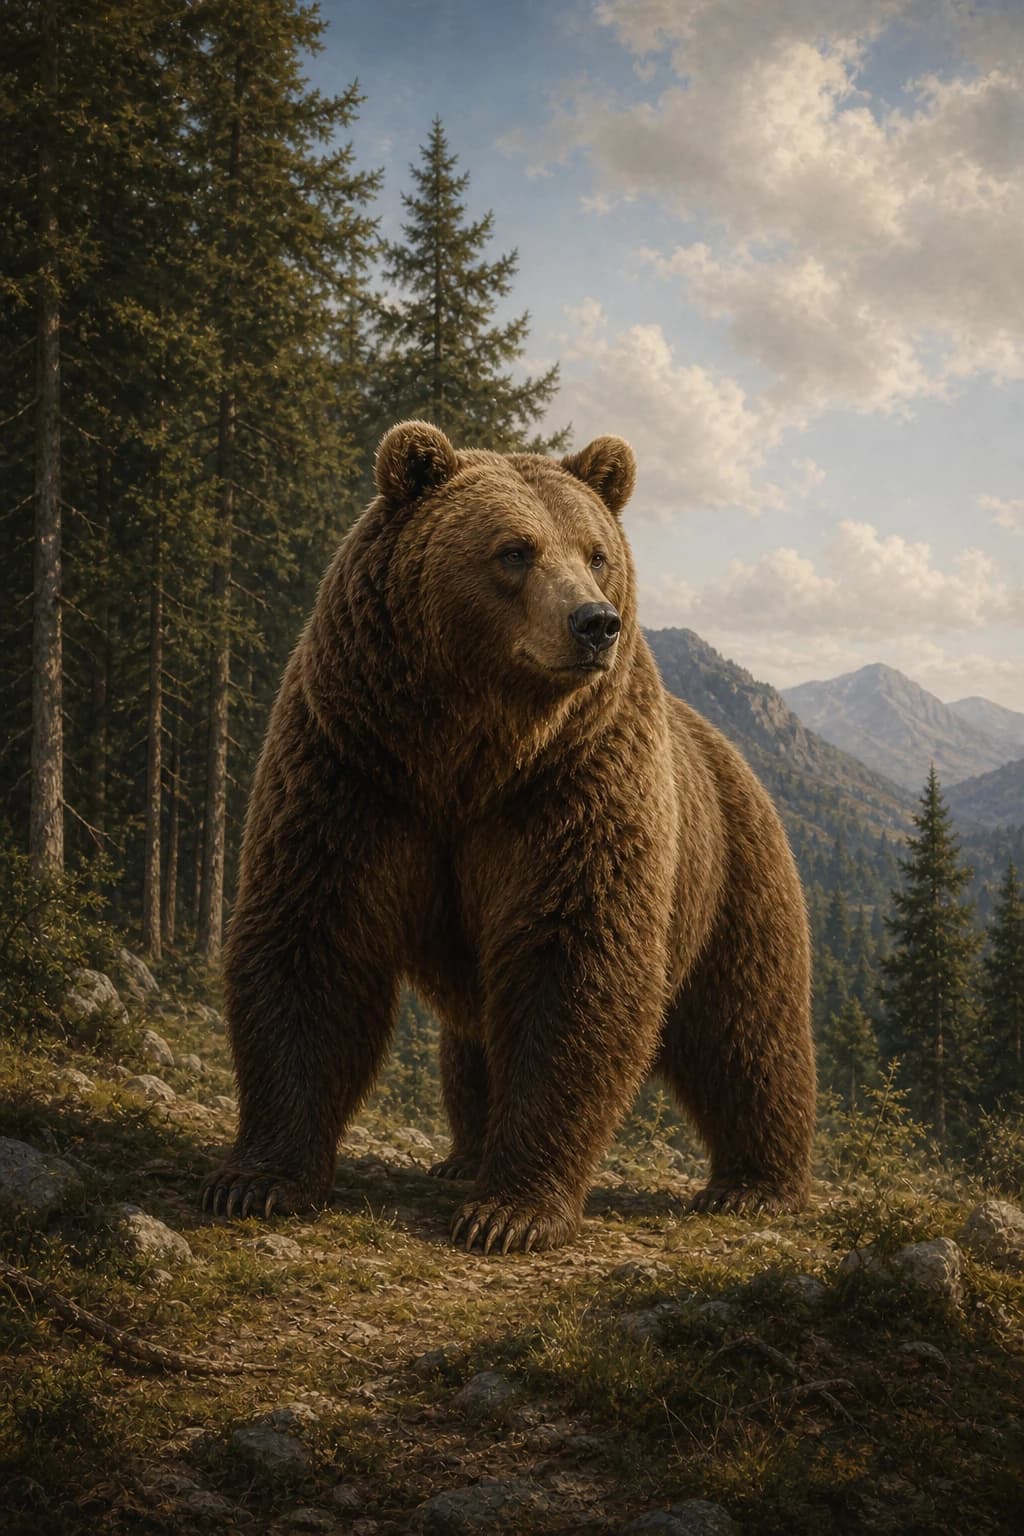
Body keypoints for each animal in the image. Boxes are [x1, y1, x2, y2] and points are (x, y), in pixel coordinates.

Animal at [201, 421, 816, 1254]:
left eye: (596, 551)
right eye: (515, 550)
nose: (595, 622)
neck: (469, 752)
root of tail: (735, 758)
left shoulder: (571, 796)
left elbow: (573, 967)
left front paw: (510, 1213)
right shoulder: (354, 772)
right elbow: (311, 942)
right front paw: (257, 1180)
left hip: (730, 878)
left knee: (747, 1030)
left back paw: (755, 1185)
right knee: (474, 1040)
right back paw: (463, 1154)